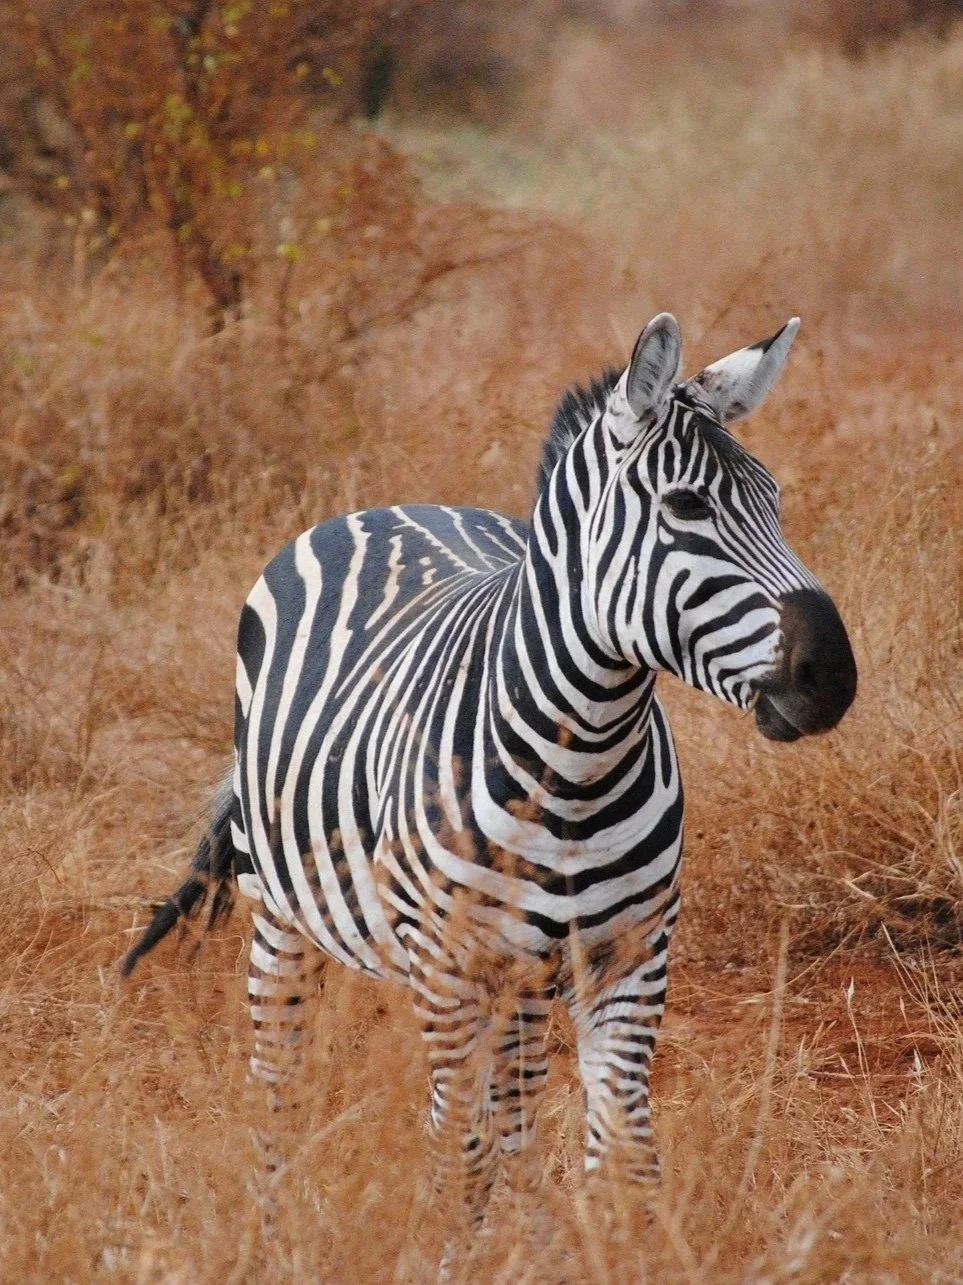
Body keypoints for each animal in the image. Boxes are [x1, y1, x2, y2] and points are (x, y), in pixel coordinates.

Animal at [123, 312, 856, 1258]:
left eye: (774, 501)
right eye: (687, 507)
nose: (831, 674)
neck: (578, 767)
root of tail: (389, 506)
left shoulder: (631, 953)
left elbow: (621, 1147)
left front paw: (602, 1250)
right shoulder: (447, 966)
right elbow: (458, 1146)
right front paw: (455, 1255)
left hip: (525, 973)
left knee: (515, 1105)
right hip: (283, 912)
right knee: (280, 1078)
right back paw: (274, 1227)